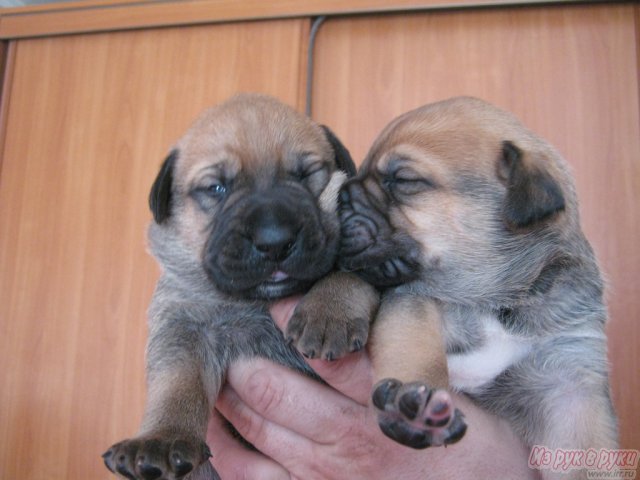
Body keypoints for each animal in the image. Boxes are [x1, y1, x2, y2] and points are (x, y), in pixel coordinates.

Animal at [102, 94, 378, 480]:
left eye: (306, 176)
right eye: (217, 188)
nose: (274, 241)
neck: (254, 301)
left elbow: (354, 269)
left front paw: (328, 311)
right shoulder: (183, 326)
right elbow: (176, 385)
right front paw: (162, 438)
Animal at [340, 95, 620, 478]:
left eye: (403, 179)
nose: (338, 193)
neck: (495, 301)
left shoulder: (572, 380)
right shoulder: (411, 301)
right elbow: (416, 345)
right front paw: (418, 403)